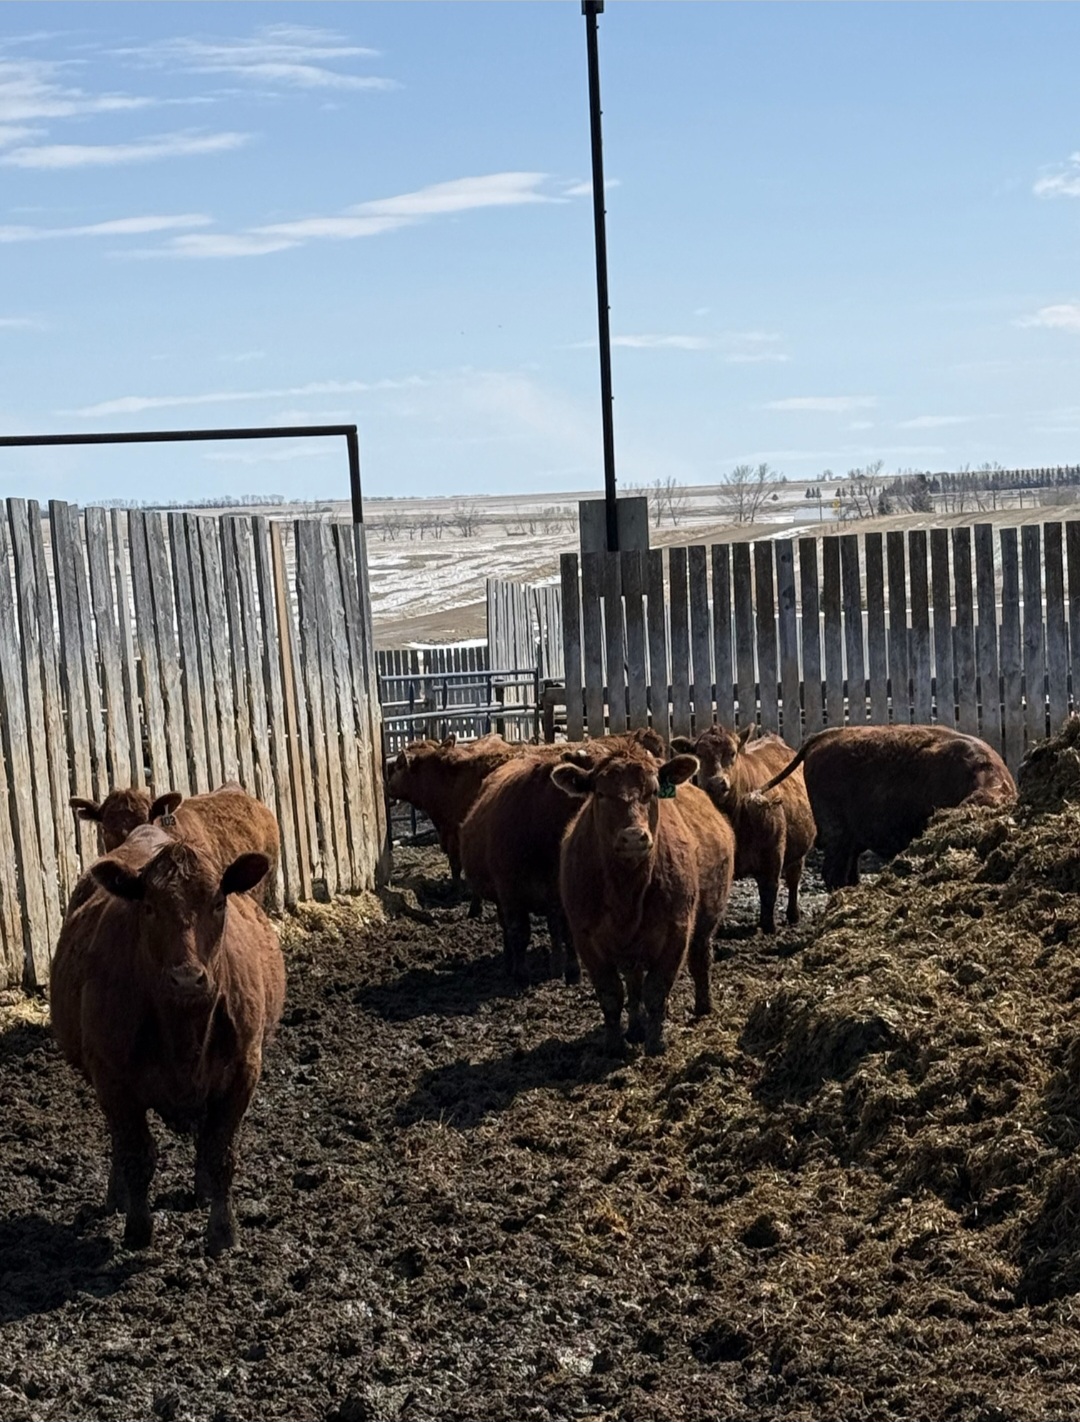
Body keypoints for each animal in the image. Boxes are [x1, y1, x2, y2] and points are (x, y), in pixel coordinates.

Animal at [50, 825, 286, 1256]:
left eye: (217, 902)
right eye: (148, 907)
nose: (187, 978)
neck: (183, 1028)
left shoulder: (243, 1069)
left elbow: (219, 1152)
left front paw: (222, 1232)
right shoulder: (112, 1079)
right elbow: (137, 1154)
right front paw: (138, 1228)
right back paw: (119, 1197)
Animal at [458, 728, 667, 987]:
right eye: (598, 791)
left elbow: (566, 932)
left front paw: (572, 969)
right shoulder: (509, 890)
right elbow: (519, 931)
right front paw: (521, 974)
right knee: (509, 928)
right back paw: (510, 963)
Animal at [552, 747, 735, 1057]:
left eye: (652, 791)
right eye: (601, 793)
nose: (633, 837)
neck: (625, 893)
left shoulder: (676, 931)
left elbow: (657, 989)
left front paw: (656, 1042)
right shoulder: (586, 938)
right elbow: (611, 993)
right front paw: (615, 1045)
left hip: (706, 920)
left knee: (700, 958)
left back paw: (702, 1007)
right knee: (634, 980)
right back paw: (636, 1028)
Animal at [671, 724, 815, 933]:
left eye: (732, 753)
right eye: (699, 754)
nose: (716, 783)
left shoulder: (773, 852)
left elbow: (770, 888)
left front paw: (768, 926)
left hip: (798, 851)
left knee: (793, 877)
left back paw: (793, 915)